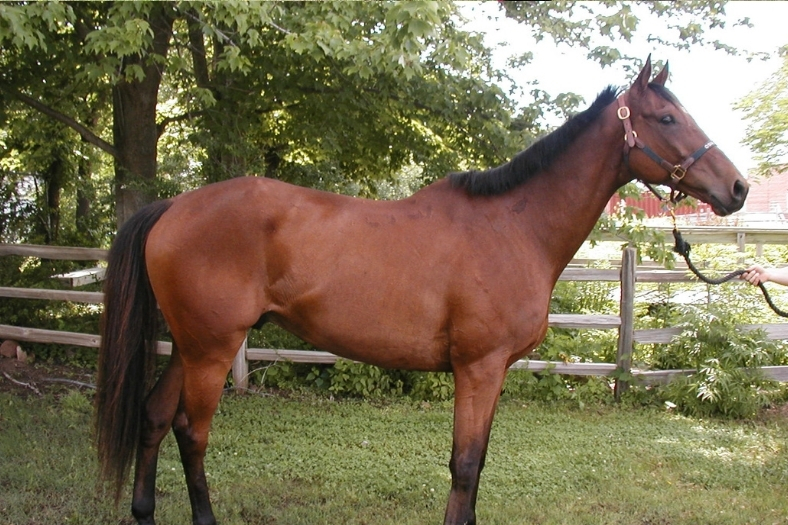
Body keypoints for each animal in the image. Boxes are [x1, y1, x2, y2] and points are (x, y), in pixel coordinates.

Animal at [94, 56, 748, 525]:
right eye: (668, 119)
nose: (737, 188)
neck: (513, 226)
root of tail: (173, 207)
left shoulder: (492, 372)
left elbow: (477, 464)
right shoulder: (478, 368)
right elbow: (465, 465)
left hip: (191, 345)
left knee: (154, 417)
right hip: (211, 348)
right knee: (190, 431)